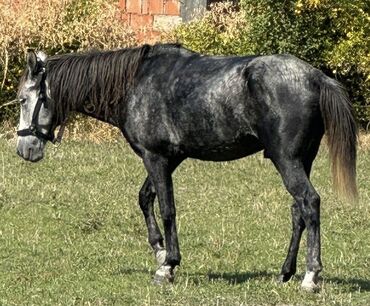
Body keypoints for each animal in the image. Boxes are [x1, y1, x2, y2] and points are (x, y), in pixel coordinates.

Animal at [15, 44, 356, 290]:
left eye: (22, 100)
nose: (24, 149)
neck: (135, 83)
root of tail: (316, 77)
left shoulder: (155, 157)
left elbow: (167, 209)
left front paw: (168, 266)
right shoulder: (170, 158)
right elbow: (145, 198)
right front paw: (159, 251)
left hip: (288, 161)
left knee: (309, 203)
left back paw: (311, 276)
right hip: (302, 161)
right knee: (298, 212)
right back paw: (285, 272)